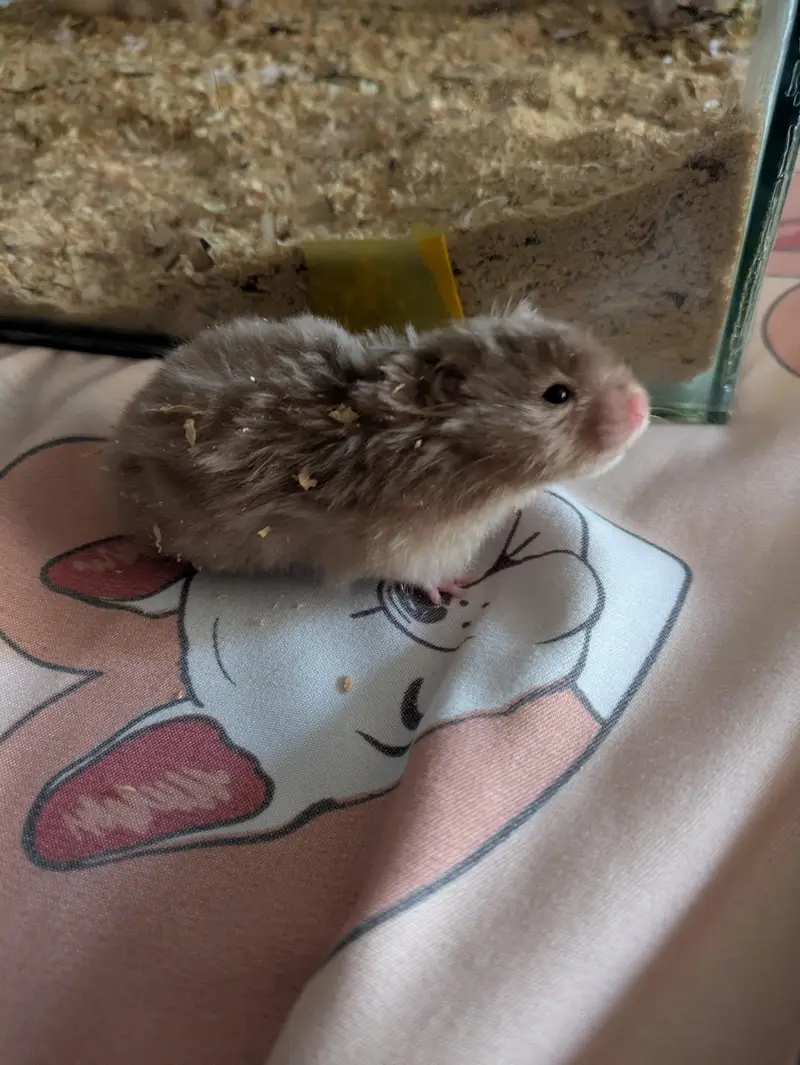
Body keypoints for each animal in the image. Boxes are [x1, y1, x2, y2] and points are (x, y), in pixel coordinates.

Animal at [107, 302, 649, 603]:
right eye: (557, 394)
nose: (644, 408)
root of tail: (121, 435)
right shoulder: (410, 545)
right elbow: (423, 576)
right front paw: (460, 586)